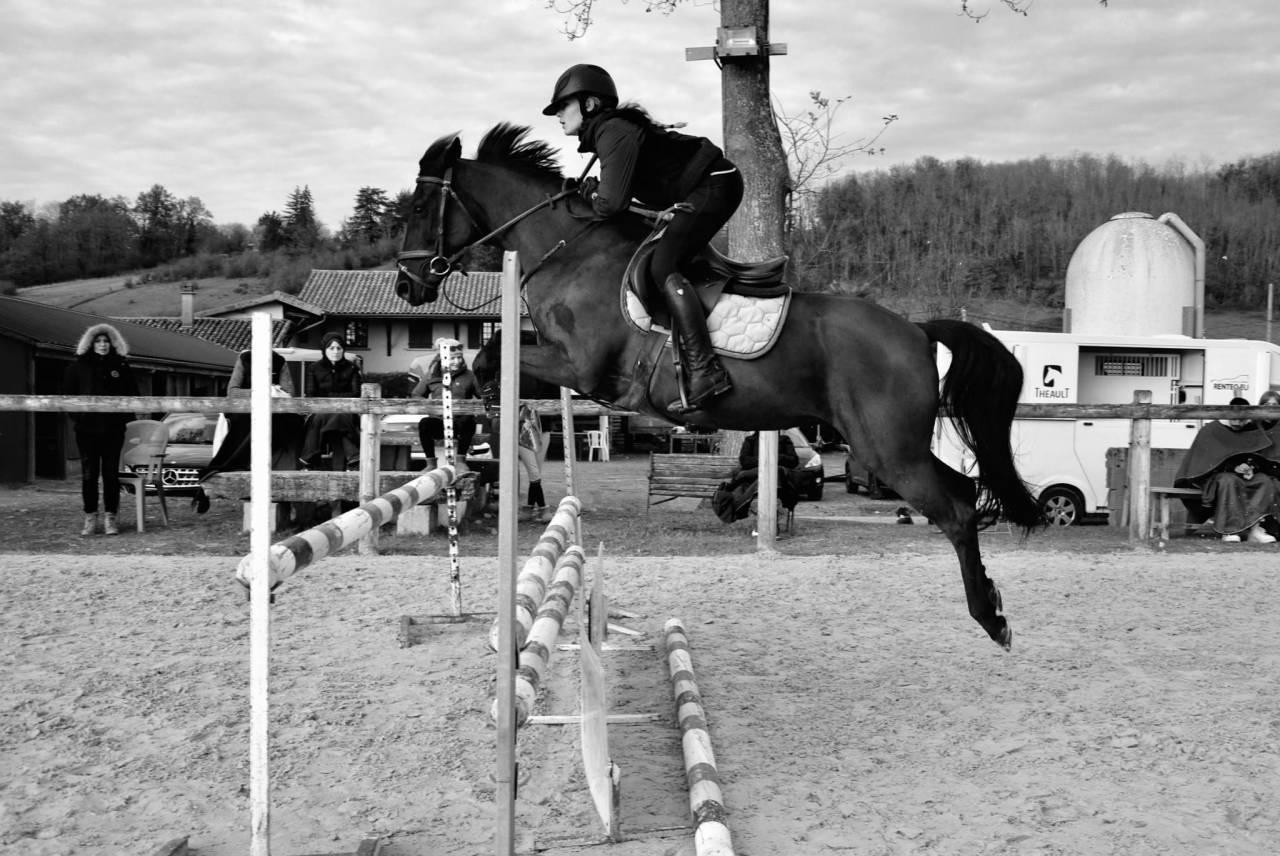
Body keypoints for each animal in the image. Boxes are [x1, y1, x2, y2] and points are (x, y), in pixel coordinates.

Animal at [395, 123, 1043, 649]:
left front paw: (480, 414)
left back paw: (992, 619)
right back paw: (992, 601)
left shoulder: (580, 367)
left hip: (887, 450)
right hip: (895, 448)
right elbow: (491, 351)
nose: (406, 285)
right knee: (966, 492)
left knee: (956, 509)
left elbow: (492, 352)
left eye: (422, 204)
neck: (569, 250)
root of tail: (915, 328)